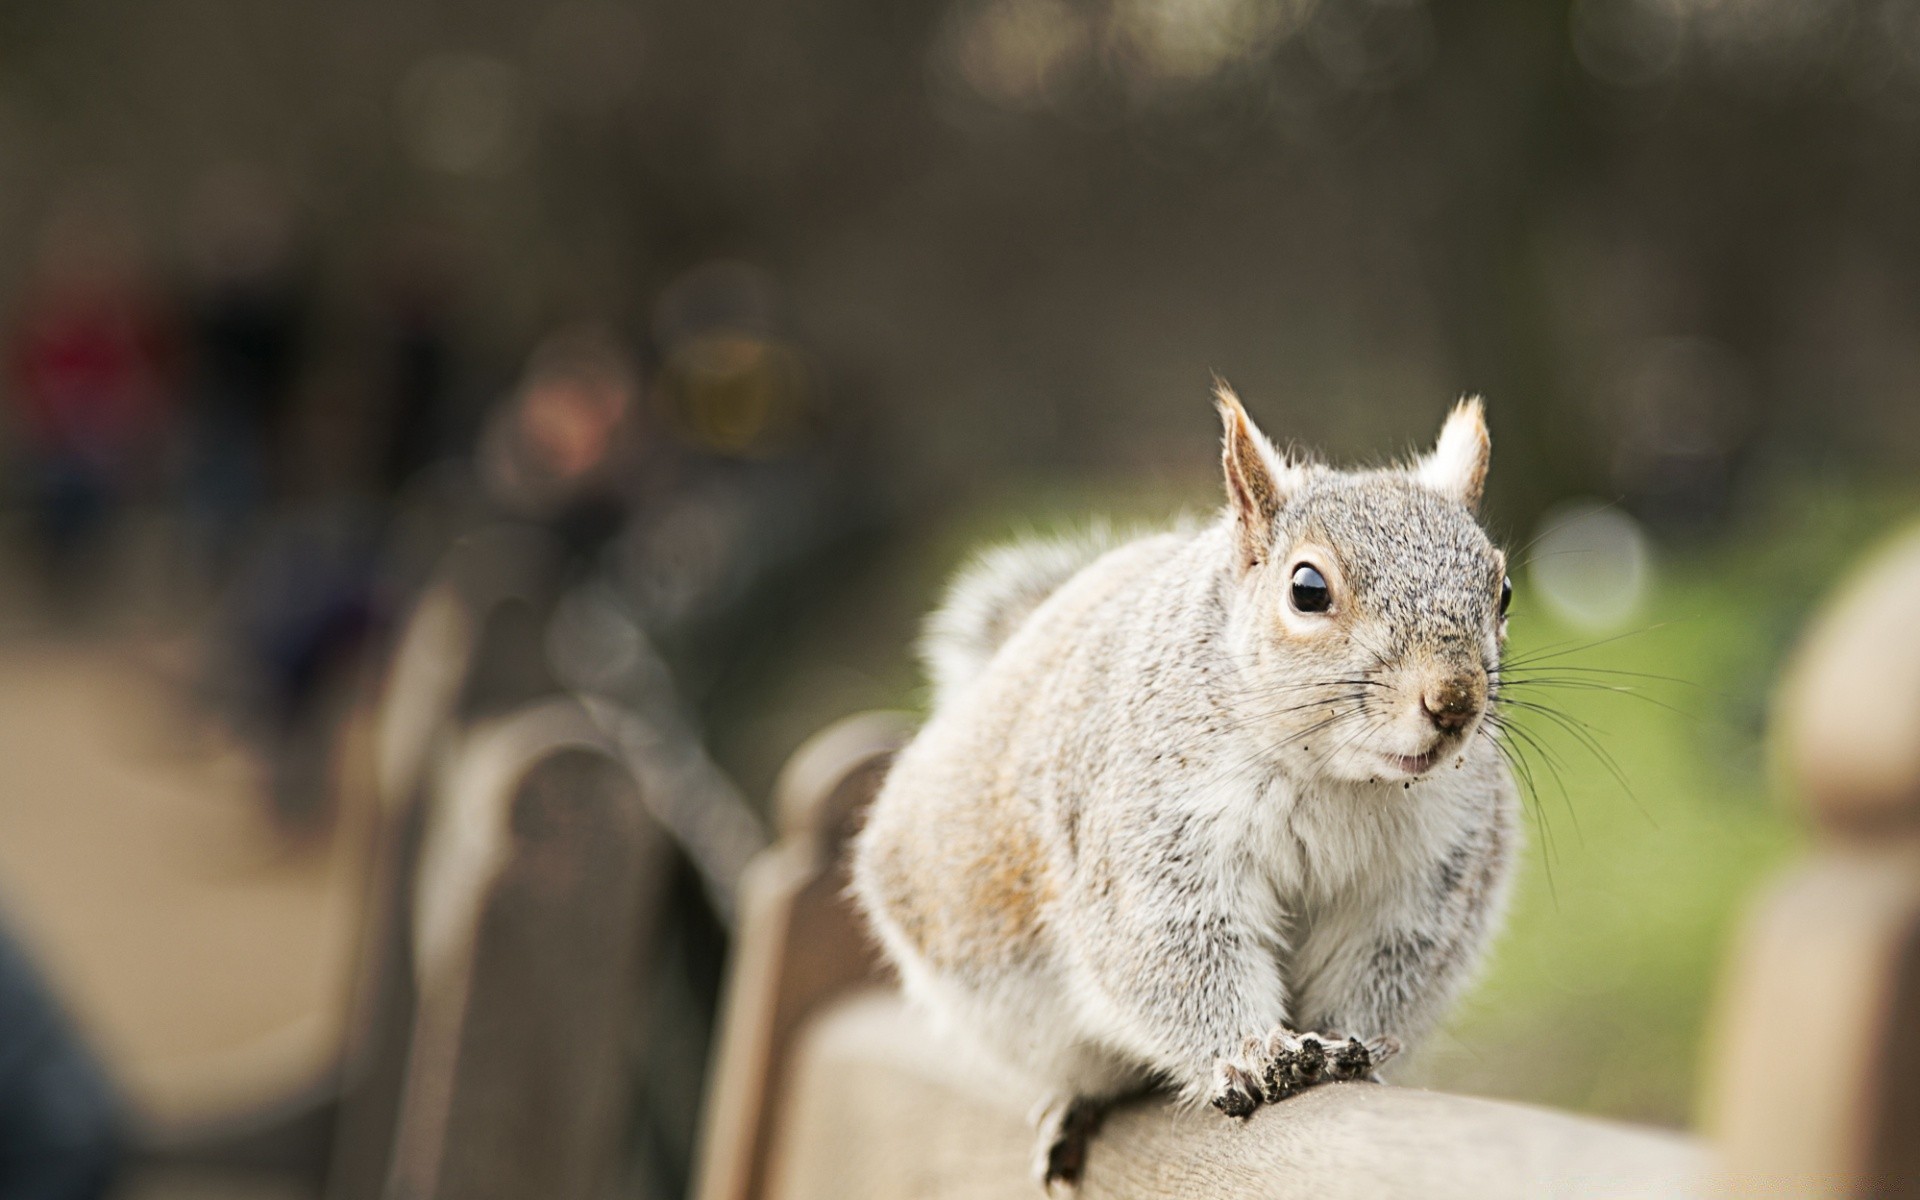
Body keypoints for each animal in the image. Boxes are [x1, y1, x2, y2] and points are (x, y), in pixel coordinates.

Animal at [848, 385, 1520, 1190]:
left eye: (1503, 590)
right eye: (1307, 589)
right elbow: (1179, 954)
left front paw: (1348, 1050)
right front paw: (1260, 1056)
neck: (1337, 777)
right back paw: (1077, 1107)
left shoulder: (1423, 878)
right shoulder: (1154, 841)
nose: (1453, 701)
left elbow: (1384, 967)